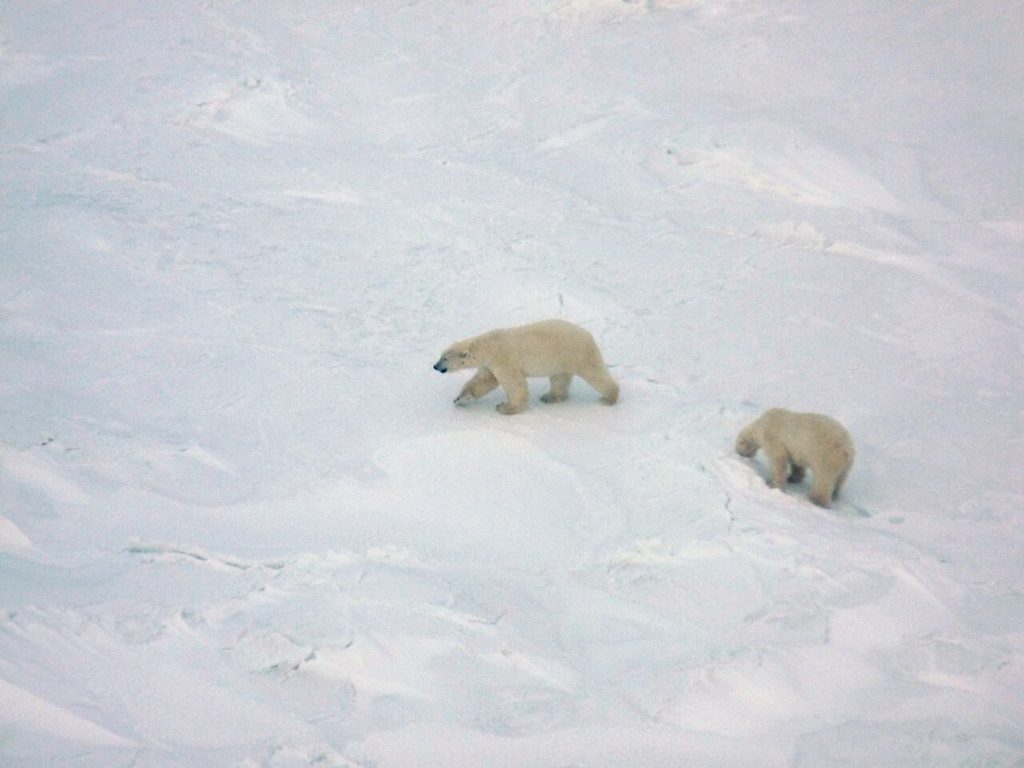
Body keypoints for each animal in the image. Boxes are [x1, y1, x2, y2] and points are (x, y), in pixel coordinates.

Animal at [432, 319, 619, 415]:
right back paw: (550, 397)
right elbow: (484, 380)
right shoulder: (490, 364)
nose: (435, 366)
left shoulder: (503, 359)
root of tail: (588, 335)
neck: (488, 346)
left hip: (576, 353)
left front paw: (505, 407)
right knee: (560, 378)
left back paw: (609, 398)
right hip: (560, 361)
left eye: (445, 358)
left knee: (595, 373)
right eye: (440, 355)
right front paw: (461, 398)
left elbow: (514, 384)